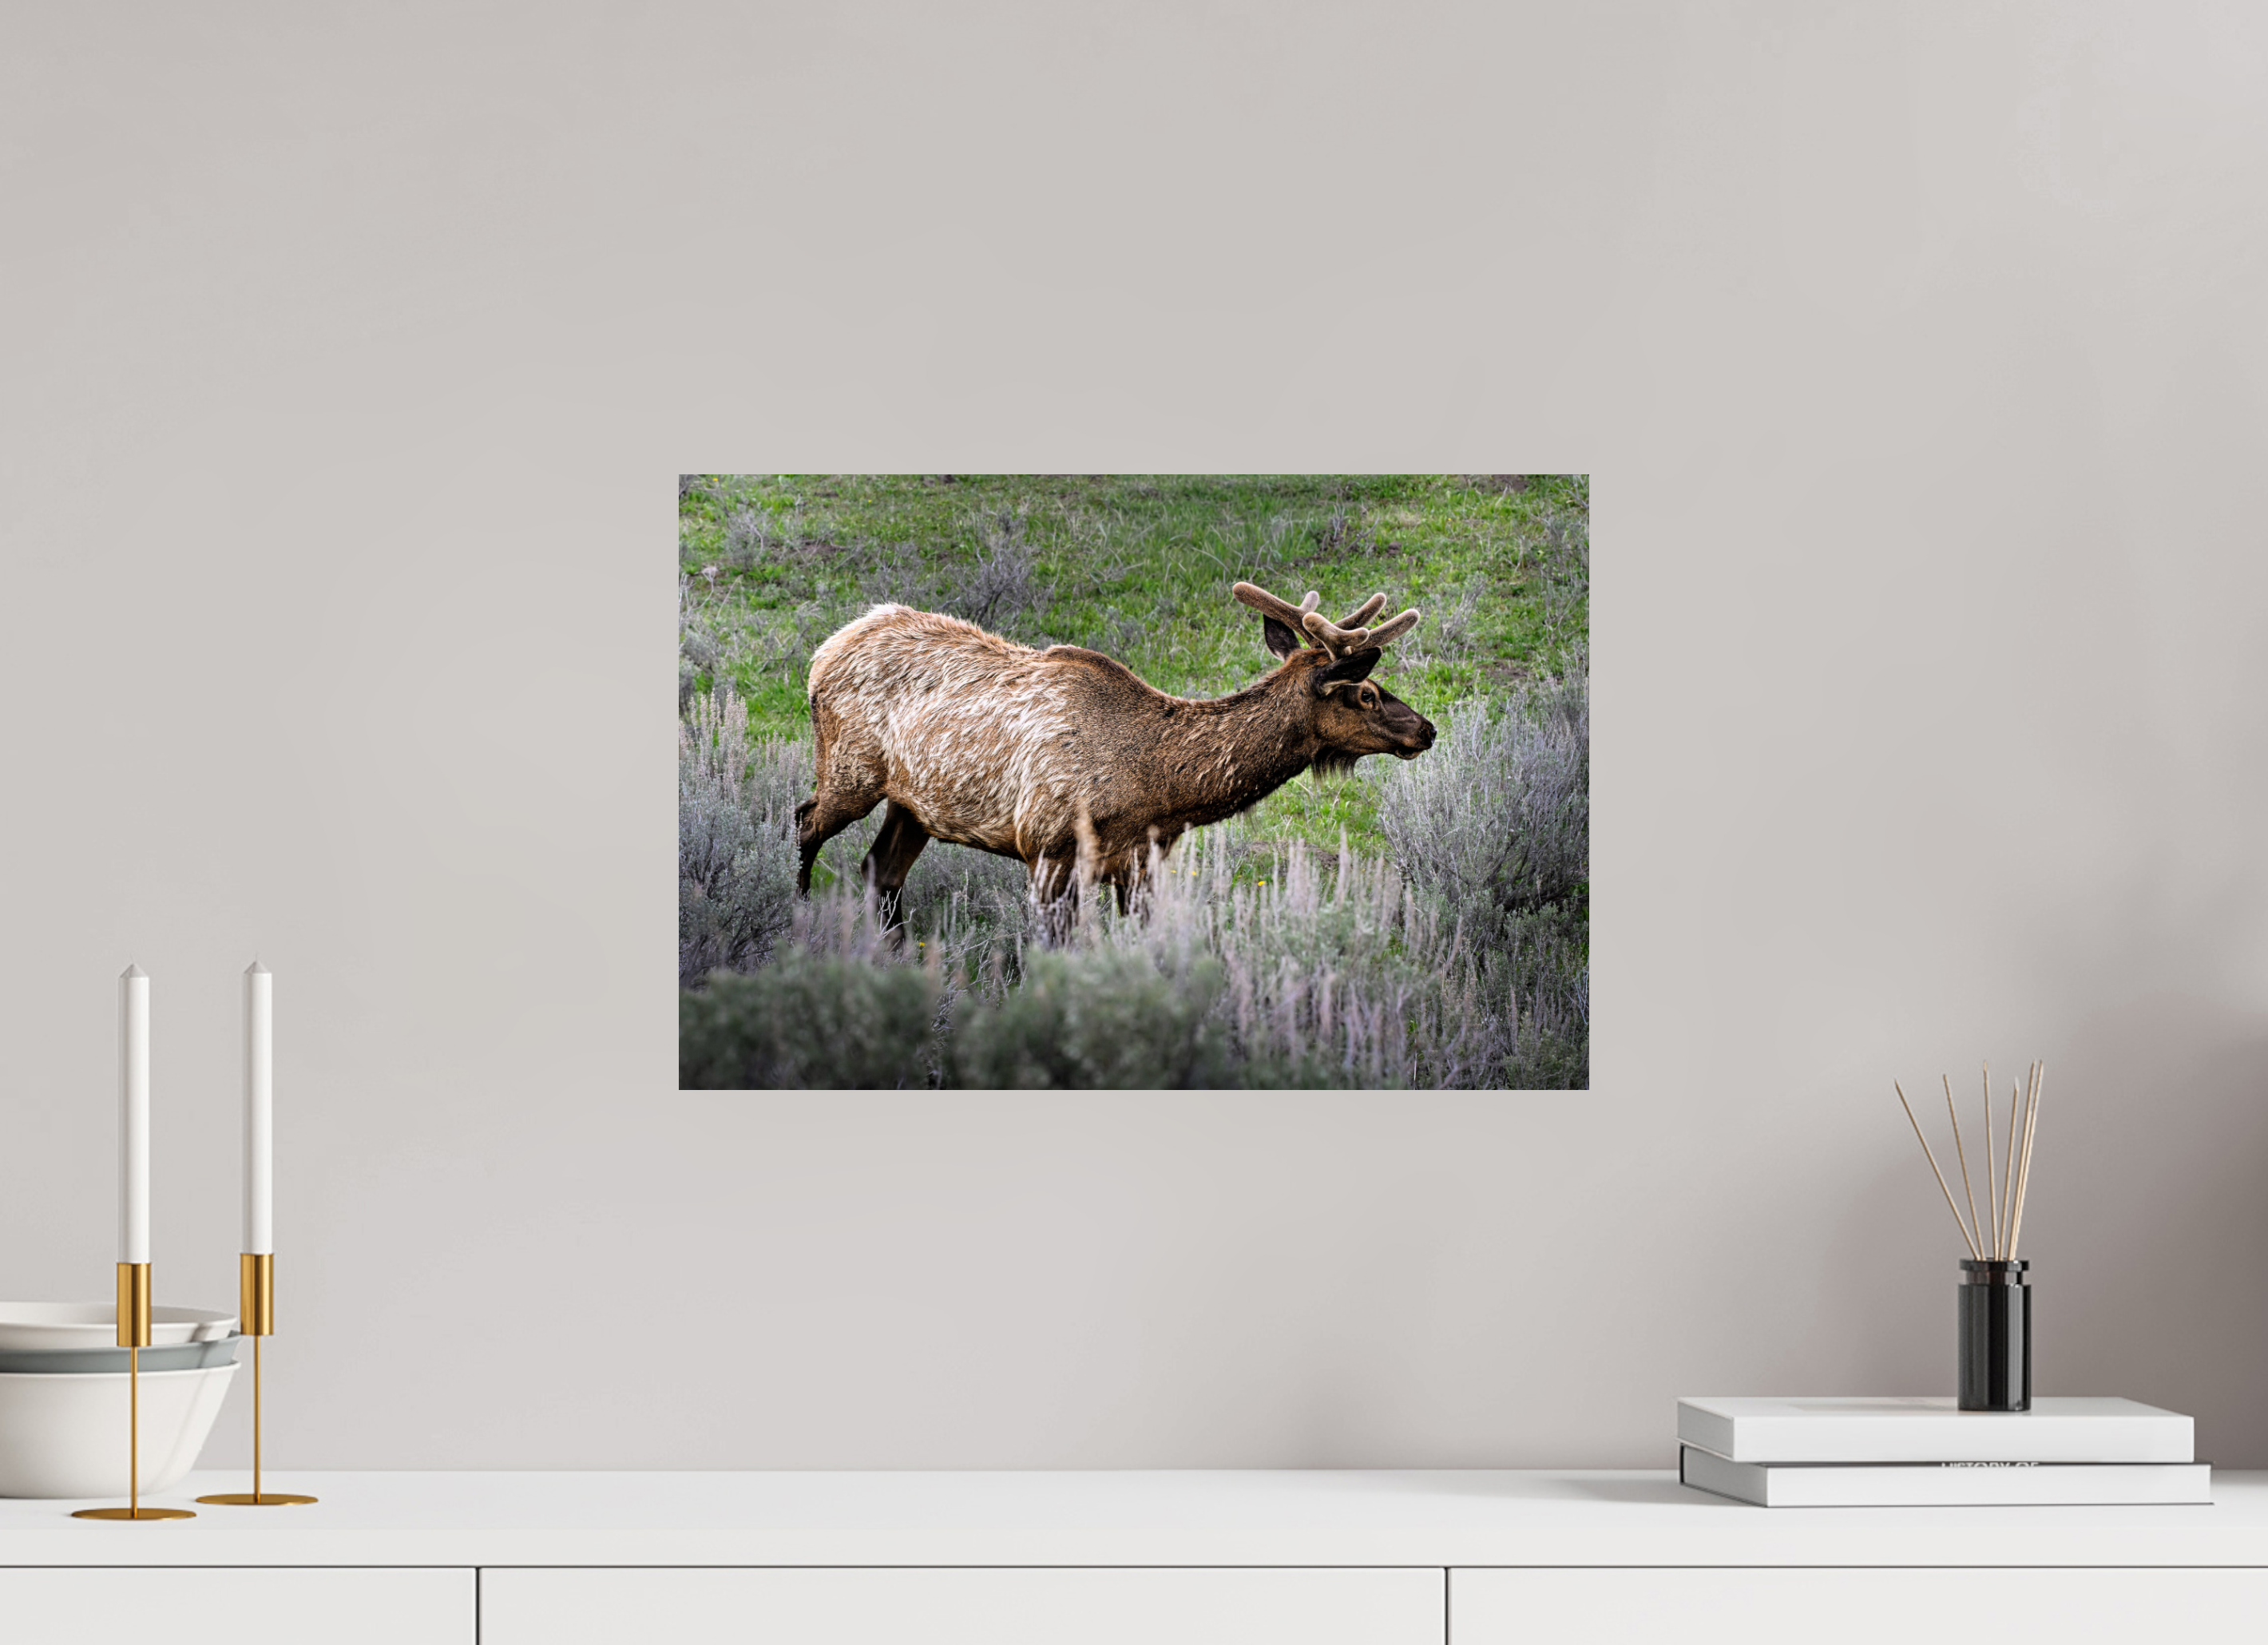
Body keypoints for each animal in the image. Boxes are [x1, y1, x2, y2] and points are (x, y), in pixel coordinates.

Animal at [794, 580, 1435, 932]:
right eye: (1366, 693)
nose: (1426, 730)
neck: (1160, 792)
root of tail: (825, 652)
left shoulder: (1139, 867)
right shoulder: (1046, 848)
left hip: (915, 804)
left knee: (879, 871)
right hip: (850, 772)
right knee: (805, 823)